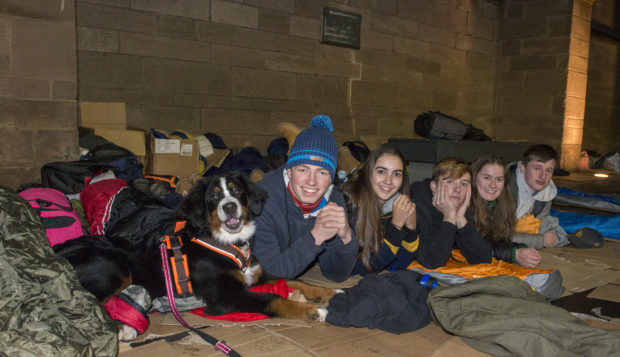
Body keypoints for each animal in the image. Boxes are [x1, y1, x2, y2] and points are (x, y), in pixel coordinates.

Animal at [54, 172, 336, 340]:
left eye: (237, 192)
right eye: (214, 196)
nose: (229, 207)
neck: (229, 242)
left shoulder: (252, 275)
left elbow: (295, 280)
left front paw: (329, 292)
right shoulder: (224, 296)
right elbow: (273, 298)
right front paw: (313, 310)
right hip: (116, 264)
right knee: (81, 305)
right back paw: (122, 328)